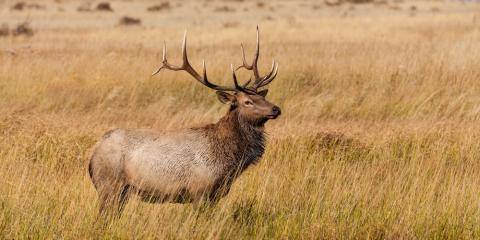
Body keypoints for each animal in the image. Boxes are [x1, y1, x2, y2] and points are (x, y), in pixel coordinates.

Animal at [89, 27, 282, 216]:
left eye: (262, 97)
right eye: (247, 102)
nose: (276, 109)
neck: (228, 164)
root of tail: (92, 155)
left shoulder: (215, 194)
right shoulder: (200, 191)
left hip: (121, 192)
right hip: (109, 186)